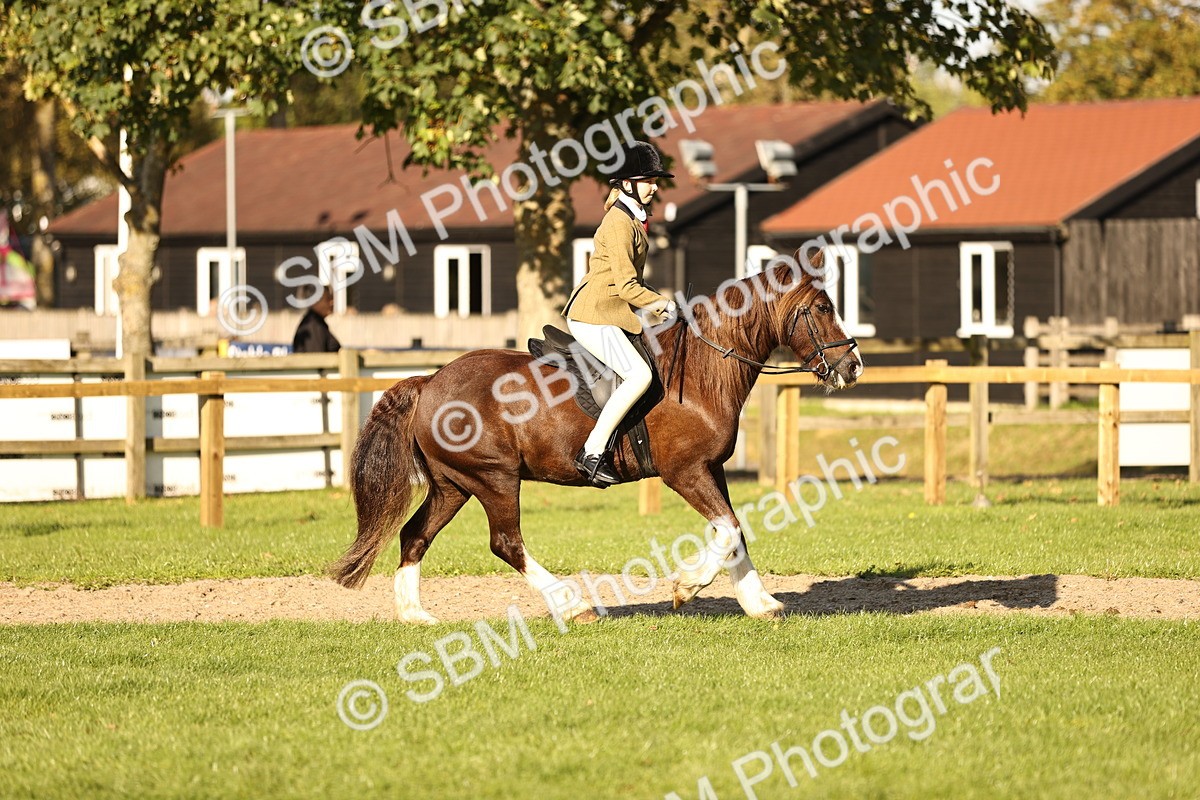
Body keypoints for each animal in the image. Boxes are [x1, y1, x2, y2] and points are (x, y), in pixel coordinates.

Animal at [329, 253, 863, 623]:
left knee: (415, 534)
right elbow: (729, 530)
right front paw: (687, 586)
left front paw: (759, 602)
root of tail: (431, 381)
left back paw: (414, 614)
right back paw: (571, 605)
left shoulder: (711, 469)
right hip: (494, 479)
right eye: (822, 307)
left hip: (453, 485)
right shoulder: (685, 472)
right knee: (506, 543)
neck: (702, 370)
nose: (853, 365)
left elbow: (734, 533)